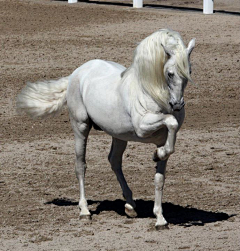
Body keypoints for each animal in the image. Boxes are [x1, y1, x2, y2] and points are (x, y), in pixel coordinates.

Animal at [17, 28, 196, 229]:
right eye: (170, 73)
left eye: (189, 71)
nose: (177, 105)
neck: (151, 92)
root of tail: (76, 73)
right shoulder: (143, 127)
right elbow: (171, 122)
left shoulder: (161, 139)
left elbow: (160, 177)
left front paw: (160, 219)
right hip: (81, 127)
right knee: (81, 165)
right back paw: (85, 211)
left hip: (119, 135)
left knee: (114, 161)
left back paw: (130, 206)